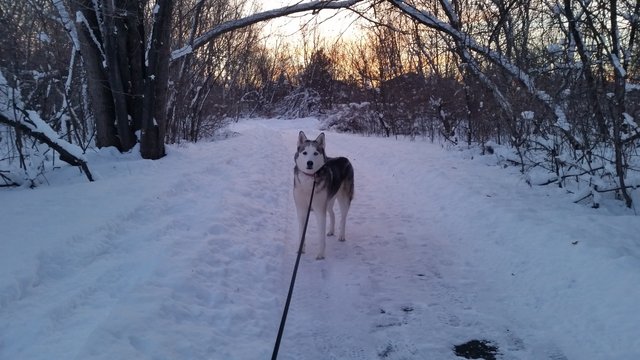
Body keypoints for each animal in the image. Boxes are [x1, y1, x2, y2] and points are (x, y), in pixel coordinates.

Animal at [292, 131, 352, 260]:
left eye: (315, 153)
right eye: (305, 153)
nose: (310, 162)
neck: (309, 180)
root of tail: (344, 158)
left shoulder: (320, 210)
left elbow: (320, 235)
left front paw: (320, 254)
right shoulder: (301, 209)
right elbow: (301, 232)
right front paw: (301, 250)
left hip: (344, 199)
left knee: (343, 217)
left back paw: (341, 235)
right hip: (328, 201)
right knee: (332, 214)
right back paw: (331, 231)